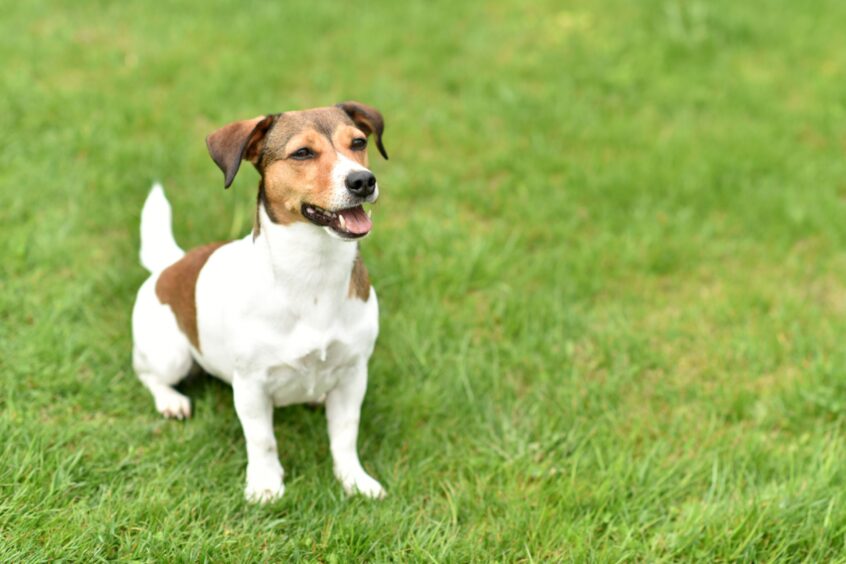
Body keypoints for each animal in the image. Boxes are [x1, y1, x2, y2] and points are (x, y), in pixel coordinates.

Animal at [132, 101, 390, 502]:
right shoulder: (251, 385)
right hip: (170, 355)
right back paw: (171, 401)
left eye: (359, 142)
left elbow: (345, 435)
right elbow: (262, 439)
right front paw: (266, 485)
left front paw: (354, 480)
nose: (363, 181)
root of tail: (170, 263)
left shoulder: (353, 373)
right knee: (148, 374)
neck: (313, 272)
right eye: (302, 153)